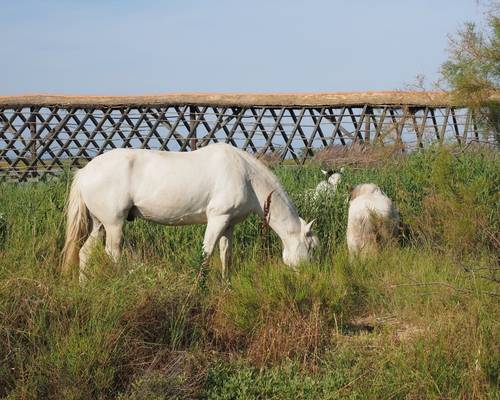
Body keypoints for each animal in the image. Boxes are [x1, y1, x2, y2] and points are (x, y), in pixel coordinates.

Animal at [60, 144, 318, 282]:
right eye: (312, 247)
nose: (310, 275)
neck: (246, 175)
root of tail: (84, 171)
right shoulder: (217, 218)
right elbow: (206, 253)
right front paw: (200, 285)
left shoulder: (229, 224)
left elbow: (225, 254)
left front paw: (226, 283)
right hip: (114, 224)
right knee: (112, 253)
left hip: (99, 224)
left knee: (85, 253)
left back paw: (84, 286)